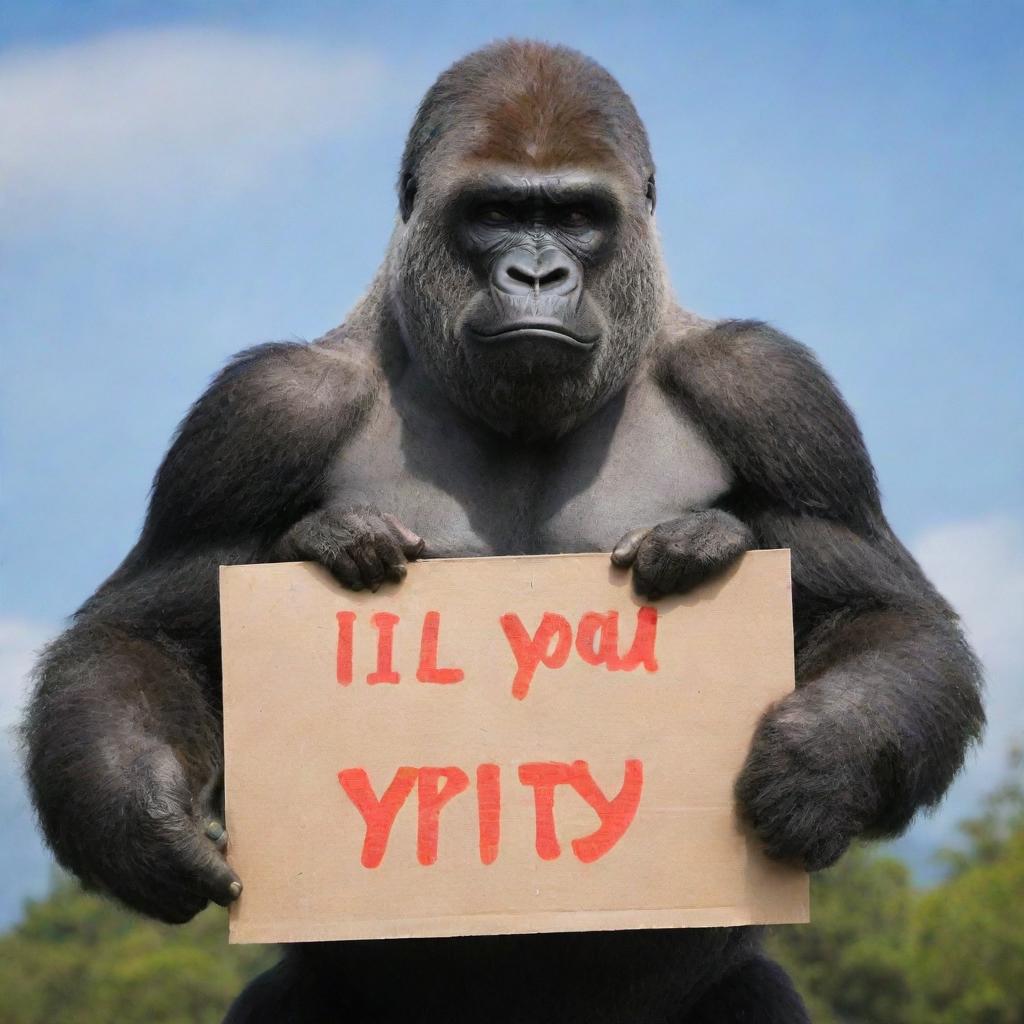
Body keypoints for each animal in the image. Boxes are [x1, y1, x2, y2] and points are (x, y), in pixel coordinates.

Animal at [25, 37, 983, 1024]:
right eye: (494, 214)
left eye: (574, 215)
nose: (536, 276)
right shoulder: (262, 410)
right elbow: (142, 630)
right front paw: (141, 814)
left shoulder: (774, 392)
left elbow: (888, 614)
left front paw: (820, 757)